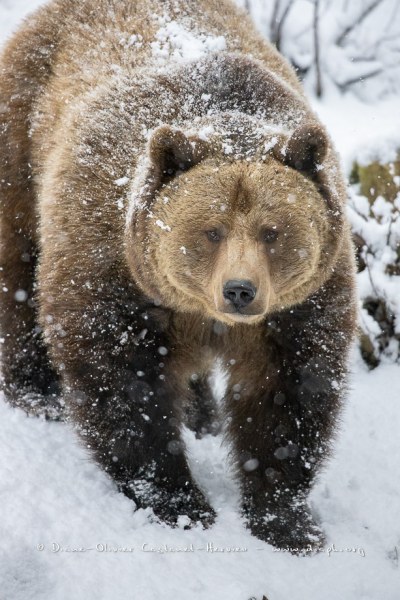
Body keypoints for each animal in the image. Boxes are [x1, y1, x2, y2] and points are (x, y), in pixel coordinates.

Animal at [0, 0, 356, 552]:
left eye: (272, 232)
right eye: (211, 230)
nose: (239, 290)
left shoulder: (299, 307)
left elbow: (289, 393)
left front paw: (287, 520)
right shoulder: (112, 267)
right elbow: (123, 384)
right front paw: (180, 502)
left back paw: (201, 413)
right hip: (22, 137)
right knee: (17, 265)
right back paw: (36, 391)